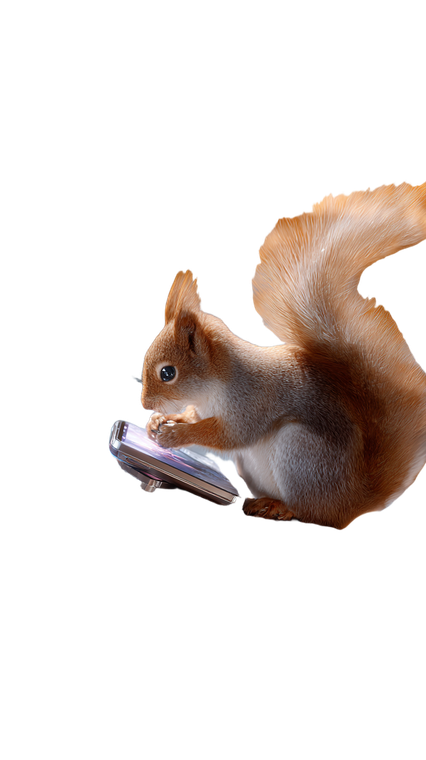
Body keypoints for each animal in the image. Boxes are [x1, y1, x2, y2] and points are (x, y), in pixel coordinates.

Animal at [140, 182, 426, 529]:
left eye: (168, 373)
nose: (145, 404)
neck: (215, 385)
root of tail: (351, 504)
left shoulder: (253, 400)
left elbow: (229, 434)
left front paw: (175, 433)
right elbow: (197, 416)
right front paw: (161, 421)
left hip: (301, 454)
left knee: (313, 513)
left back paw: (283, 508)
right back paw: (263, 502)